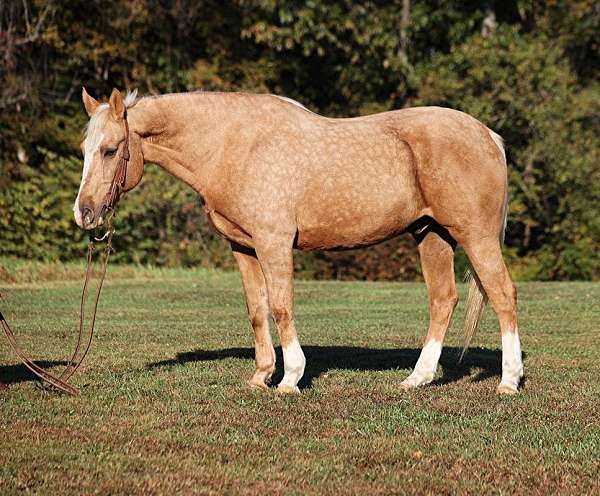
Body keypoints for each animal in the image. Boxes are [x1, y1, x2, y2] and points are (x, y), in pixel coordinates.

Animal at [75, 88, 524, 396]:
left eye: (111, 150)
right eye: (84, 149)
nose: (85, 213)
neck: (234, 146)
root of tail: (489, 135)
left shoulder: (273, 244)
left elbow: (281, 306)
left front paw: (290, 378)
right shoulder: (244, 248)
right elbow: (257, 310)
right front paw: (261, 376)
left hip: (476, 236)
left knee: (502, 294)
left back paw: (509, 381)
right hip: (432, 234)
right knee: (443, 300)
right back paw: (418, 378)